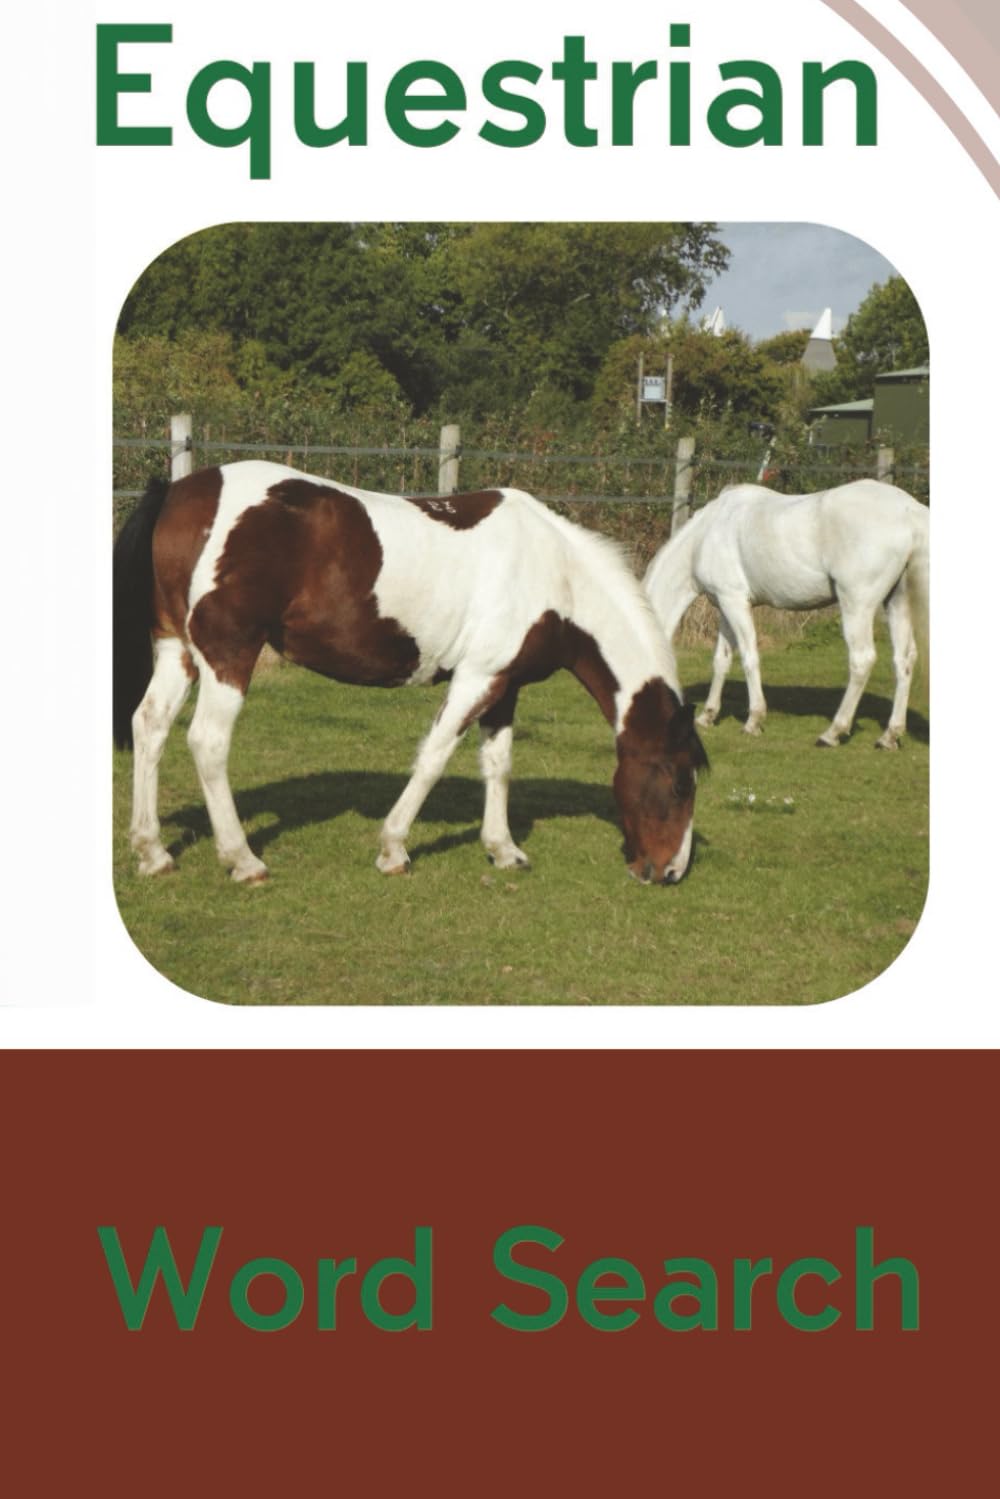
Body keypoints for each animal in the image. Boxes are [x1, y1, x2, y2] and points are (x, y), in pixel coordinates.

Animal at [114, 460, 707, 886]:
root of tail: (179, 492)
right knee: (207, 742)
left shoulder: (504, 686)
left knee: (150, 726)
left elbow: (498, 765)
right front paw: (394, 848)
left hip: (179, 651)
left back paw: (153, 852)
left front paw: (504, 850)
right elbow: (434, 758)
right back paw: (243, 859)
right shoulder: (476, 678)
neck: (554, 576)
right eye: (680, 782)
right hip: (229, 654)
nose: (670, 872)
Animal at [643, 479, 929, 748]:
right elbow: (721, 660)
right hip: (897, 603)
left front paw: (754, 720)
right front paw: (708, 716)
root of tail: (909, 511)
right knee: (904, 660)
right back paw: (889, 736)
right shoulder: (724, 605)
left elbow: (749, 657)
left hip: (856, 605)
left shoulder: (734, 601)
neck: (704, 537)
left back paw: (832, 733)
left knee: (862, 660)